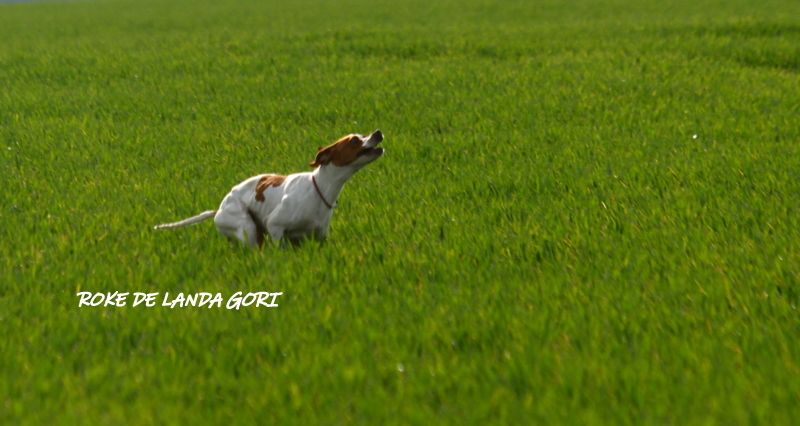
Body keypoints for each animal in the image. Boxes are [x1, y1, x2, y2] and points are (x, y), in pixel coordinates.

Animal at [155, 131, 386, 248]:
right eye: (354, 140)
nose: (378, 133)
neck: (319, 188)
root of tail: (218, 209)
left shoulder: (318, 237)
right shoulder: (275, 226)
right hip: (248, 227)